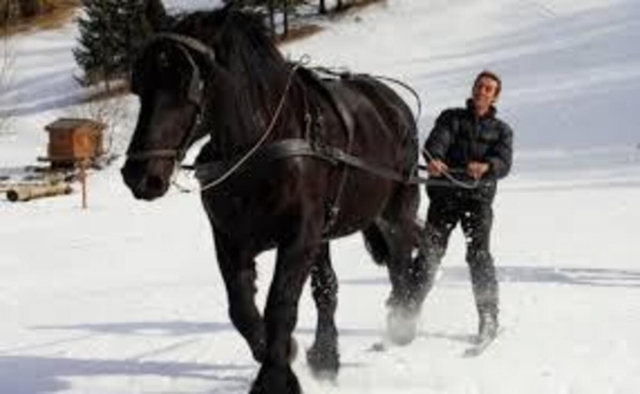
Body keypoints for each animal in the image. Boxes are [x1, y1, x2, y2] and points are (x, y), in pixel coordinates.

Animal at [122, 3, 428, 394]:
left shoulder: (298, 236)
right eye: (140, 86)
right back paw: (327, 356)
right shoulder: (231, 238)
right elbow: (241, 308)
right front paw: (283, 351)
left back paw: (405, 314)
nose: (138, 175)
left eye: (186, 82)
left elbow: (280, 304)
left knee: (404, 254)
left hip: (395, 207)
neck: (256, 148)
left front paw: (274, 379)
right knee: (329, 288)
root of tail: (391, 103)